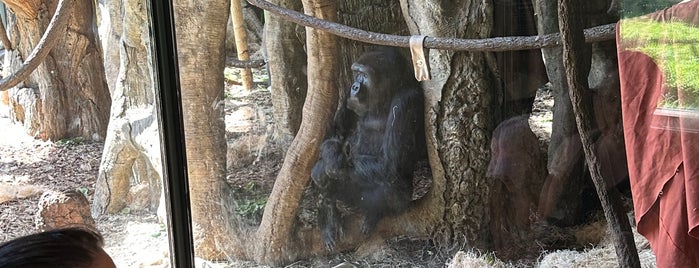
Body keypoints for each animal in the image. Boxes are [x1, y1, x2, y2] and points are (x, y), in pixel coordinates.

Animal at [312, 47, 426, 250]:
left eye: (364, 75)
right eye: (356, 73)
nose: (355, 86)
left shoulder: (406, 101)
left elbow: (391, 164)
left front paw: (331, 166)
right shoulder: (347, 97)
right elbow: (335, 134)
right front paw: (329, 159)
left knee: (388, 184)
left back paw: (374, 213)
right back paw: (329, 216)